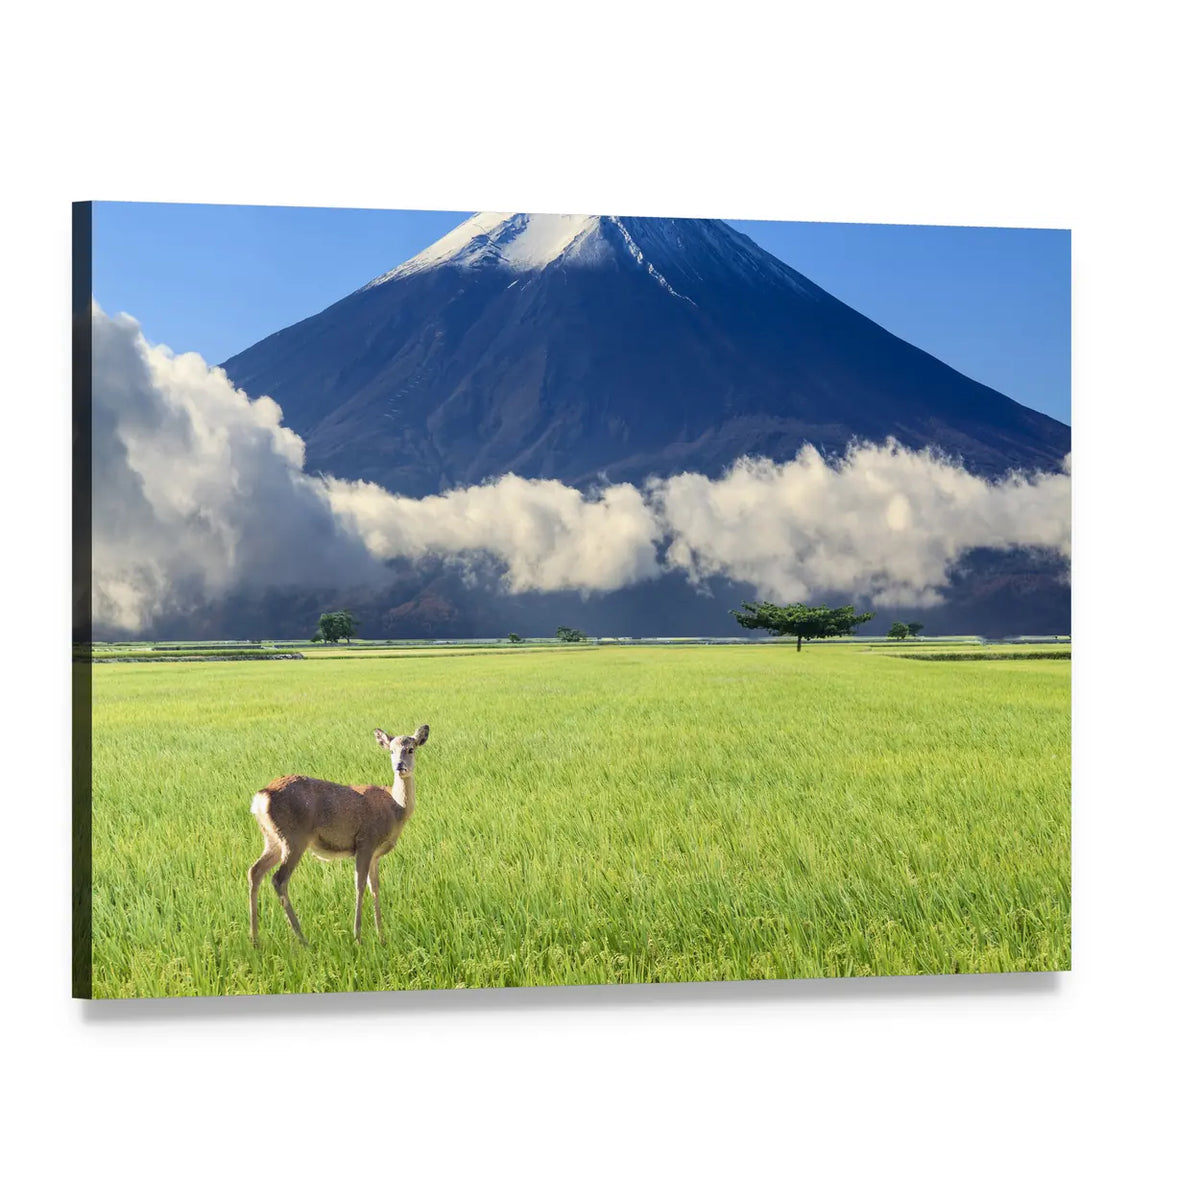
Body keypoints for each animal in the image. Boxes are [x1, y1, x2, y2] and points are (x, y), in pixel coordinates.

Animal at [248, 724, 430, 946]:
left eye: (411, 749)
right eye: (391, 751)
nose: (400, 766)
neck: (395, 808)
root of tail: (261, 797)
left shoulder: (376, 854)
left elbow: (375, 887)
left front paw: (381, 936)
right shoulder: (365, 841)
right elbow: (360, 886)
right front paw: (358, 936)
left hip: (272, 839)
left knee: (255, 871)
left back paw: (255, 940)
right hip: (294, 837)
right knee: (278, 879)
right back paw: (302, 939)